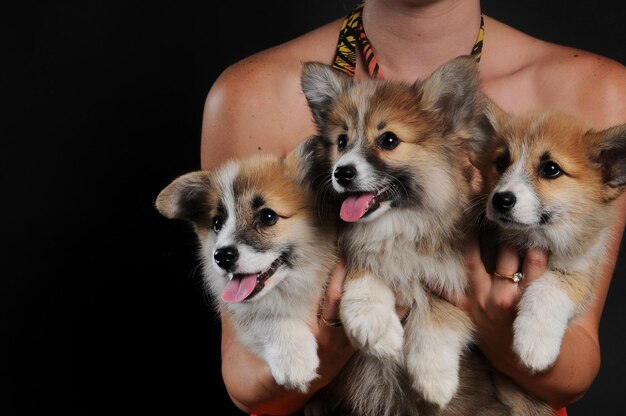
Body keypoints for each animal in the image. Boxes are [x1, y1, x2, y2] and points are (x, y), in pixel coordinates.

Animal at [300, 56, 490, 410]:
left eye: (388, 140)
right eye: (341, 142)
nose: (341, 172)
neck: (395, 223)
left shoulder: (451, 277)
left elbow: (438, 314)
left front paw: (435, 377)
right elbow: (365, 266)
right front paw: (374, 325)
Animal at [472, 105, 624, 372]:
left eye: (551, 169)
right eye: (501, 162)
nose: (501, 200)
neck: (532, 238)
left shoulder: (579, 270)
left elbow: (548, 287)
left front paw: (535, 343)